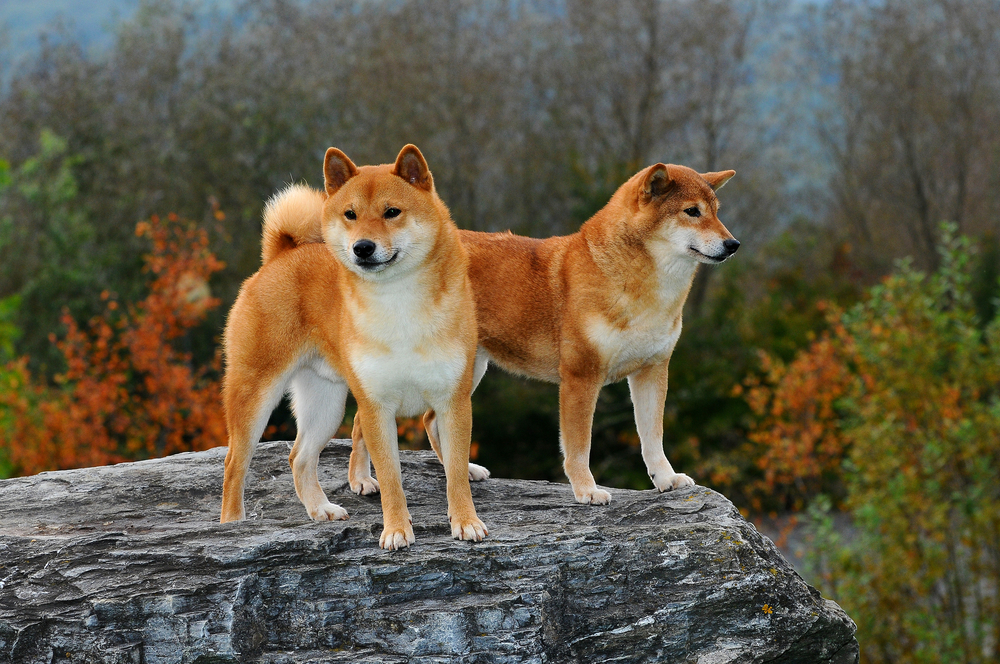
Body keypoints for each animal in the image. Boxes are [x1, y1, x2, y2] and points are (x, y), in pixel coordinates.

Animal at [220, 145, 488, 548]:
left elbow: (455, 473)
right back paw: (232, 524)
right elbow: (392, 479)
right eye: (351, 214)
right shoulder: (377, 408)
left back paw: (321, 509)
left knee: (299, 458)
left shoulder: (452, 401)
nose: (362, 247)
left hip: (326, 404)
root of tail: (282, 255)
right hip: (255, 395)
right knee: (234, 464)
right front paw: (396, 530)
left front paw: (466, 522)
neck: (398, 303)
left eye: (392, 212)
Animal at [350, 161, 736, 504]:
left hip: (467, 370)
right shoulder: (581, 378)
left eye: (717, 212)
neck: (642, 289)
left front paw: (666, 478)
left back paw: (461, 471)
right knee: (361, 421)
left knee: (430, 420)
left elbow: (653, 437)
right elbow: (579, 446)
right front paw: (586, 490)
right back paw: (362, 481)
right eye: (692, 211)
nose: (733, 244)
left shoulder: (652, 370)